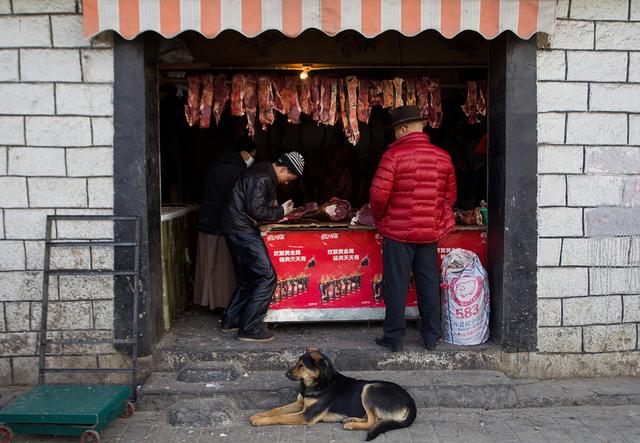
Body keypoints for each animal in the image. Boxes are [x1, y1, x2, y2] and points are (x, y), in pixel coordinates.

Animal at [248, 350, 418, 440]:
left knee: (373, 421)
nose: (286, 374)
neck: (317, 383)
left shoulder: (306, 415)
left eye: (301, 365)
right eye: (297, 363)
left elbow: (280, 417)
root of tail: (410, 399)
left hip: (369, 388)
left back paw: (351, 424)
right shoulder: (300, 404)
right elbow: (276, 410)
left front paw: (260, 421)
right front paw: (258, 415)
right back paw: (350, 419)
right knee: (372, 419)